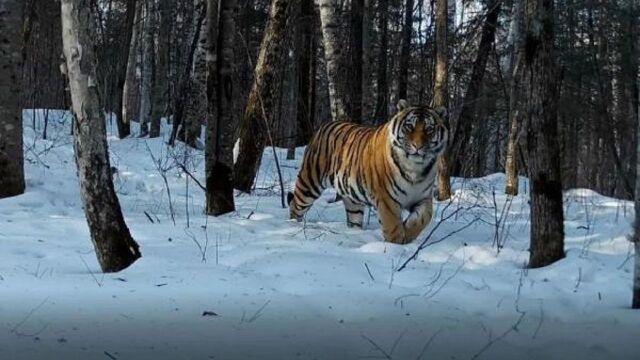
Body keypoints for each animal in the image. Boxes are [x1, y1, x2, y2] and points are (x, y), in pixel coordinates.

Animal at [288, 100, 448, 243]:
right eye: (409, 127)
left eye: (429, 129)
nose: (417, 146)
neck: (415, 167)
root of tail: (325, 125)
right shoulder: (387, 199)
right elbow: (392, 226)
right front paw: (396, 243)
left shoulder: (423, 197)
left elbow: (424, 217)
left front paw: (408, 233)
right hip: (310, 182)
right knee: (295, 205)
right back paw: (293, 226)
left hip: (352, 199)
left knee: (353, 219)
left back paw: (354, 233)